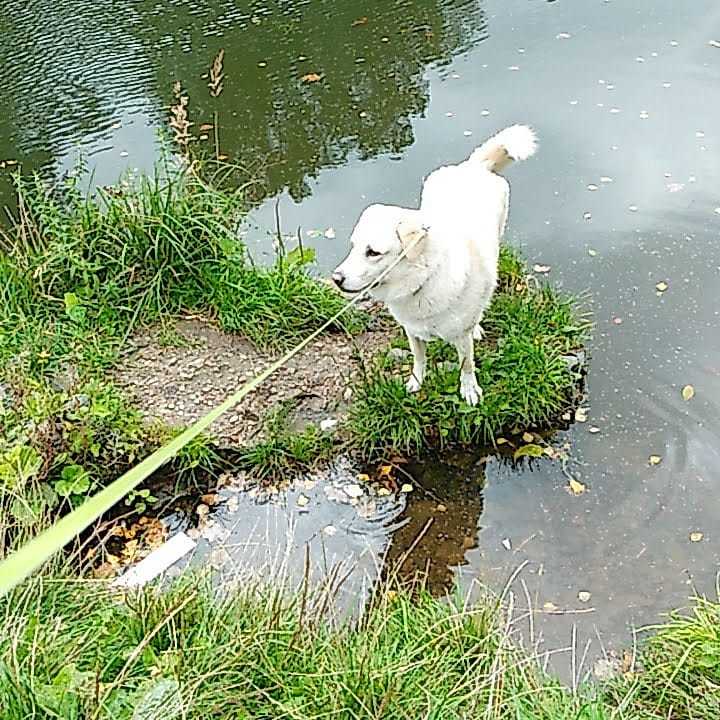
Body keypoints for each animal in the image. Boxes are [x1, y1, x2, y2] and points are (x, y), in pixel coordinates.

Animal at [332, 124, 536, 404]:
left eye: (373, 252)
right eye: (353, 246)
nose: (336, 279)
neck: (422, 280)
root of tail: (474, 167)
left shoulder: (460, 336)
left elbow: (466, 365)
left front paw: (469, 391)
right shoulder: (412, 331)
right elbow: (419, 359)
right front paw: (416, 383)